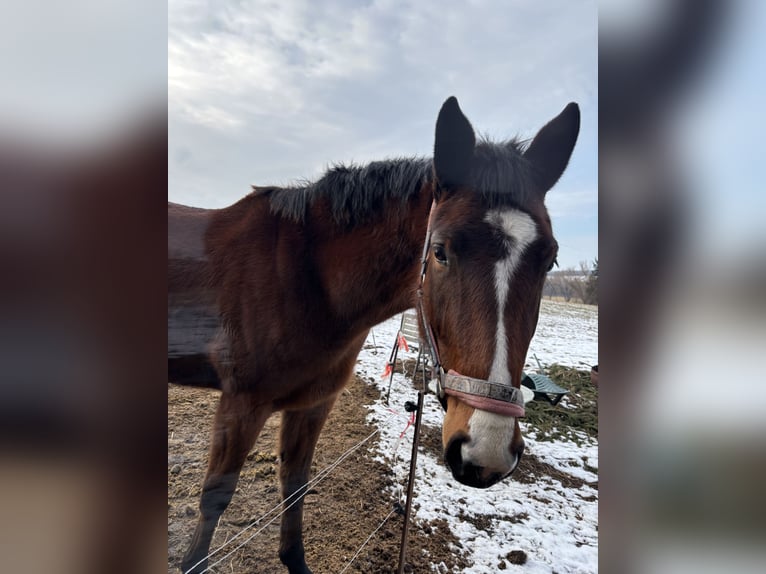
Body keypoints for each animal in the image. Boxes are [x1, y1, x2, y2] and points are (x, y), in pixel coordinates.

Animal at [169, 96, 580, 574]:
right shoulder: (241, 404)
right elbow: (215, 498)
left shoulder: (313, 404)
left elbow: (296, 484)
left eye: (550, 260)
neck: (307, 279)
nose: (486, 449)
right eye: (439, 251)